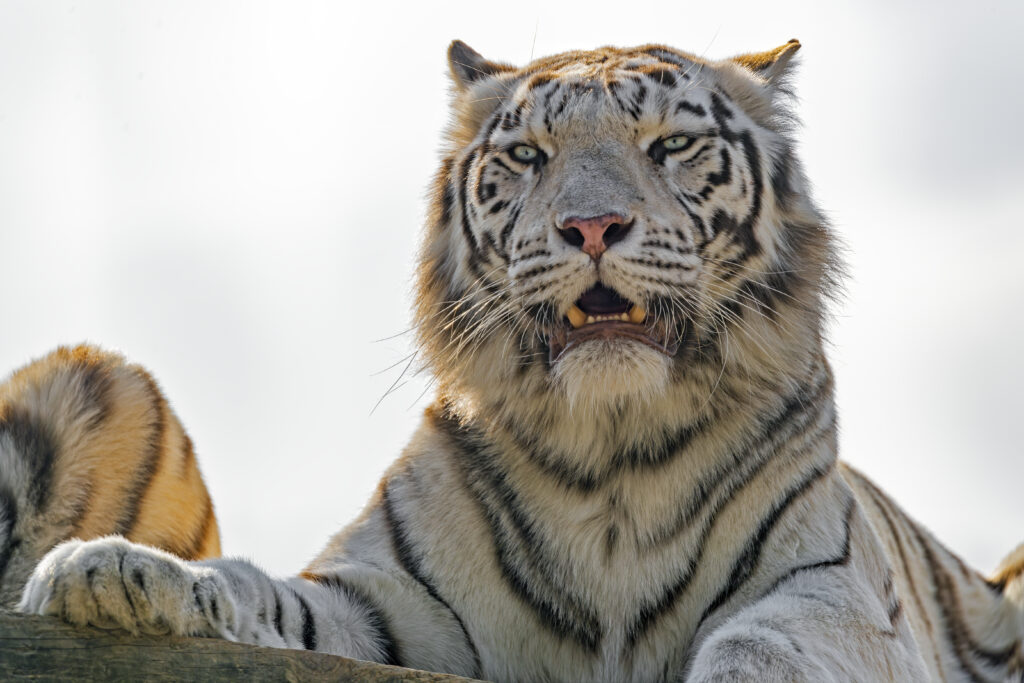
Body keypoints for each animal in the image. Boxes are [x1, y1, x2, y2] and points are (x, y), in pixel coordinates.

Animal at [3, 38, 1023, 682]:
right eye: (530, 155)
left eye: (670, 144)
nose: (592, 225)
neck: (612, 458)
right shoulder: (389, 604)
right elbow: (266, 594)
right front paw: (114, 573)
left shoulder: (827, 594)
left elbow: (760, 650)